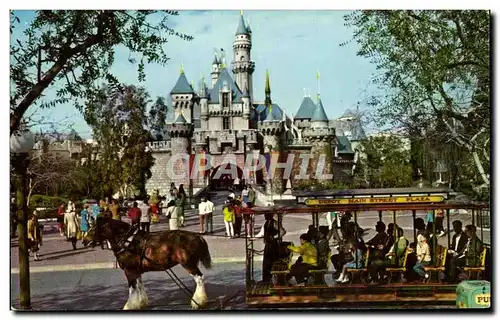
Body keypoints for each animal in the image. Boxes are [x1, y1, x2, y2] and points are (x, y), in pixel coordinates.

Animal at [84, 218, 213, 310]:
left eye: (93, 228)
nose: (84, 241)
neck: (127, 242)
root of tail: (198, 236)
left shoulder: (129, 271)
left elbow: (132, 289)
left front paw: (129, 306)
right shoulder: (136, 272)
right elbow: (140, 286)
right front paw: (141, 303)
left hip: (188, 264)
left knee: (199, 278)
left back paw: (198, 302)